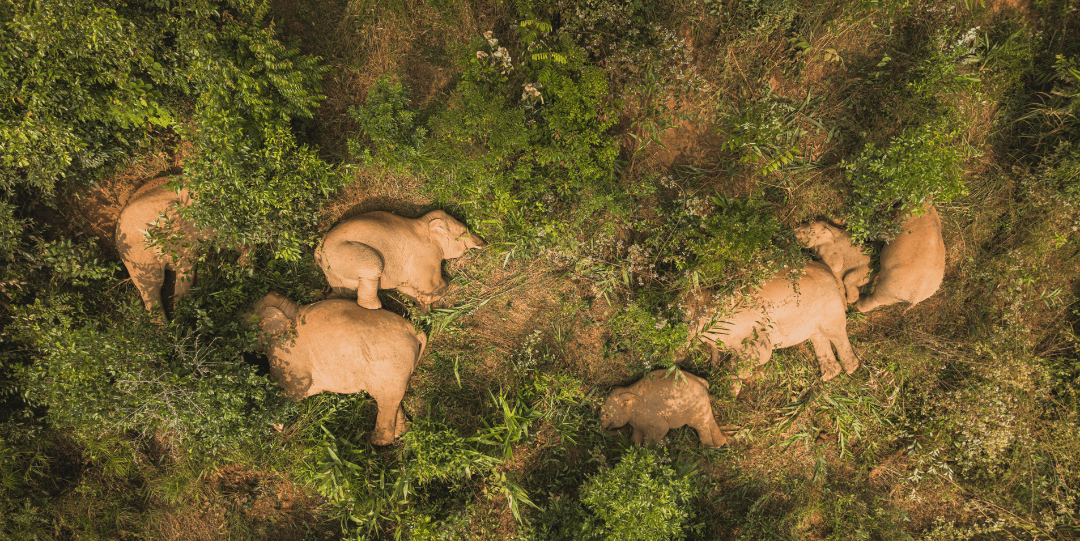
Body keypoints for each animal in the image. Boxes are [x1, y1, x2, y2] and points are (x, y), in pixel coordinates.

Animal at [249, 292, 427, 446]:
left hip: (390, 366)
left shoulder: (286, 353)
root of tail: (415, 331)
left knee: (385, 401)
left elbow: (292, 387)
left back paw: (373, 443)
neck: (290, 309)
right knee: (394, 401)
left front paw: (274, 427)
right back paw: (400, 432)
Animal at [315, 210, 486, 310]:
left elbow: (405, 288)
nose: (485, 243)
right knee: (374, 265)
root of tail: (320, 247)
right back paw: (377, 308)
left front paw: (419, 302)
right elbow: (430, 284)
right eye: (463, 232)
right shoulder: (425, 254)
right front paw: (425, 299)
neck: (423, 223)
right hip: (344, 253)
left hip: (334, 270)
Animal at [600, 369, 728, 447]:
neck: (628, 390)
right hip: (704, 405)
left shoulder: (647, 414)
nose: (622, 430)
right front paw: (634, 448)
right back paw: (720, 444)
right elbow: (637, 434)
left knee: (700, 426)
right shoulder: (637, 421)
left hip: (696, 409)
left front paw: (646, 451)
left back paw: (708, 450)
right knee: (709, 421)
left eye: (607, 414)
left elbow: (662, 428)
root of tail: (704, 384)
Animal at [691, 261, 858, 395]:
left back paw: (851, 368)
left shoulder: (753, 328)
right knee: (819, 338)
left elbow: (762, 354)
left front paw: (729, 384)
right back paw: (829, 375)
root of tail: (828, 270)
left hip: (830, 306)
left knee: (836, 334)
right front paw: (724, 384)